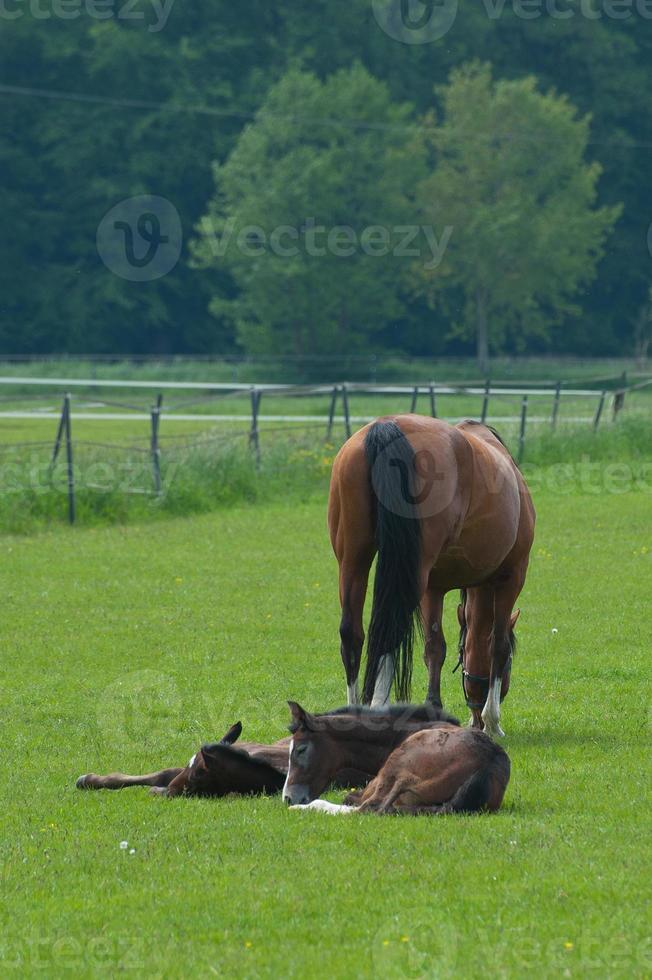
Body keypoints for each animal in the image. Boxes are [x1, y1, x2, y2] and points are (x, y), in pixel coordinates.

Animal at [326, 414, 536, 736]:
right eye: (513, 662)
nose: (475, 719)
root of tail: (386, 426)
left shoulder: (432, 588)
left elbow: (434, 648)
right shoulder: (512, 577)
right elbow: (497, 644)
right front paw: (492, 721)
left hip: (353, 560)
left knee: (352, 633)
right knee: (389, 633)